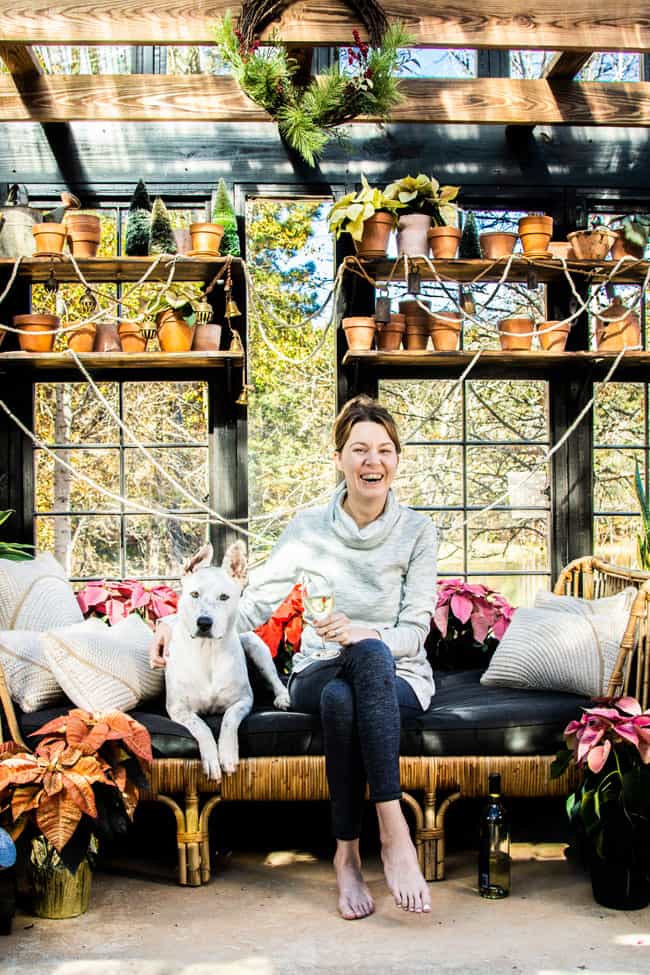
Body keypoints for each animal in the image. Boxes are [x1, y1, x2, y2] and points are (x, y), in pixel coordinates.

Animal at [166, 536, 290, 780]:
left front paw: (227, 755)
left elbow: (228, 720)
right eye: (194, 594)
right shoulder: (178, 709)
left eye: (224, 597)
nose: (204, 623)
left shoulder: (243, 700)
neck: (207, 652)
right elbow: (201, 727)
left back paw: (282, 697)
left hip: (256, 648)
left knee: (275, 679)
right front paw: (212, 760)